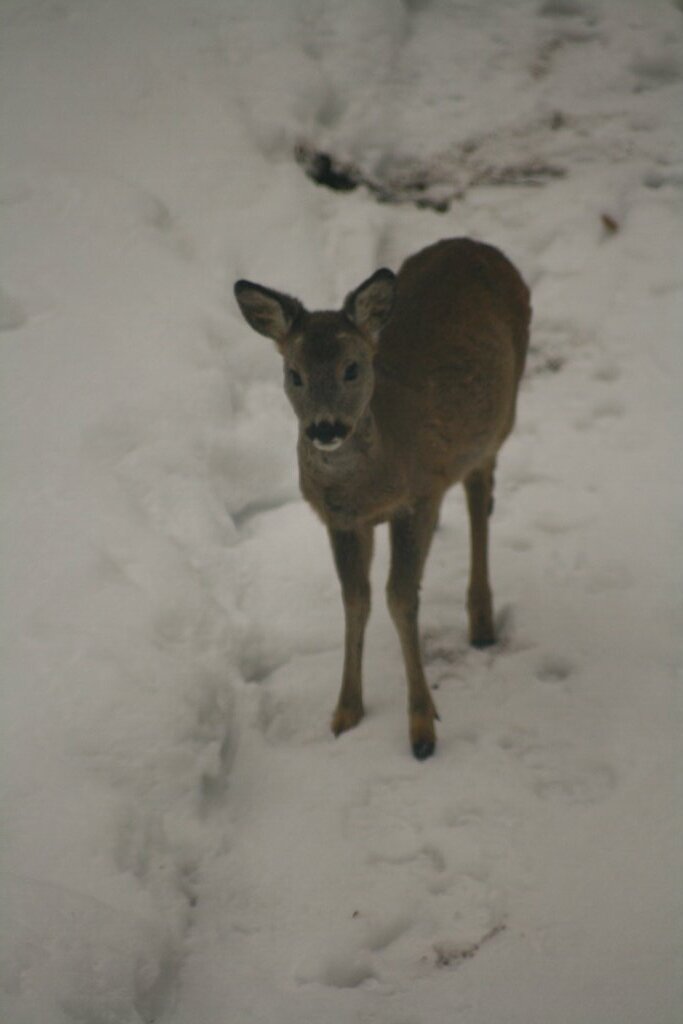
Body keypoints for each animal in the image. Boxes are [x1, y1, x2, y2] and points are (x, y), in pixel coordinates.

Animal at [236, 235, 532, 757]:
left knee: (481, 491)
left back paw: (481, 620)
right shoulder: (341, 520)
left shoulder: (418, 497)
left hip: (504, 412)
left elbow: (400, 598)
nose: (326, 428)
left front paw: (423, 727)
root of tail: (476, 244)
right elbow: (356, 599)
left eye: (352, 368)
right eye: (294, 374)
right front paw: (345, 712)